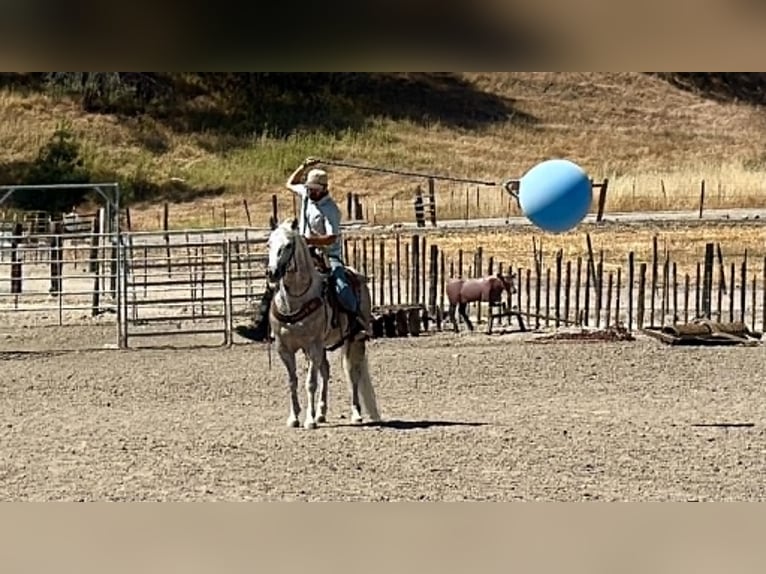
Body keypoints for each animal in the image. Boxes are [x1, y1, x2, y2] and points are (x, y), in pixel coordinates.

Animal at [266, 218, 381, 430]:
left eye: (288, 245)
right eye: (269, 244)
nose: (272, 272)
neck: (295, 301)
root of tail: (357, 275)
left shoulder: (313, 346)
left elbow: (310, 382)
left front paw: (309, 421)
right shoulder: (285, 348)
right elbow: (293, 381)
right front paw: (294, 418)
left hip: (353, 340)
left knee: (352, 374)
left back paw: (356, 414)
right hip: (322, 347)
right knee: (325, 372)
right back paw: (321, 413)